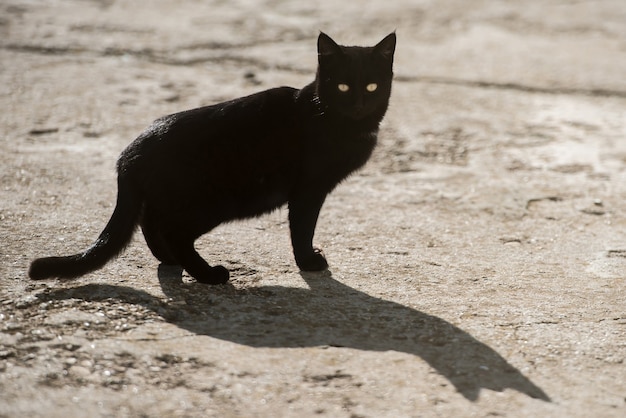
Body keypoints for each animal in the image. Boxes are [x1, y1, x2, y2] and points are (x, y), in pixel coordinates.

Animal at [28, 32, 394, 284]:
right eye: (343, 87)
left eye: (372, 87)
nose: (359, 104)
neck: (335, 121)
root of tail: (130, 151)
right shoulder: (308, 189)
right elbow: (303, 228)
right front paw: (308, 262)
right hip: (212, 203)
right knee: (173, 231)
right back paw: (208, 275)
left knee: (151, 223)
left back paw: (171, 261)